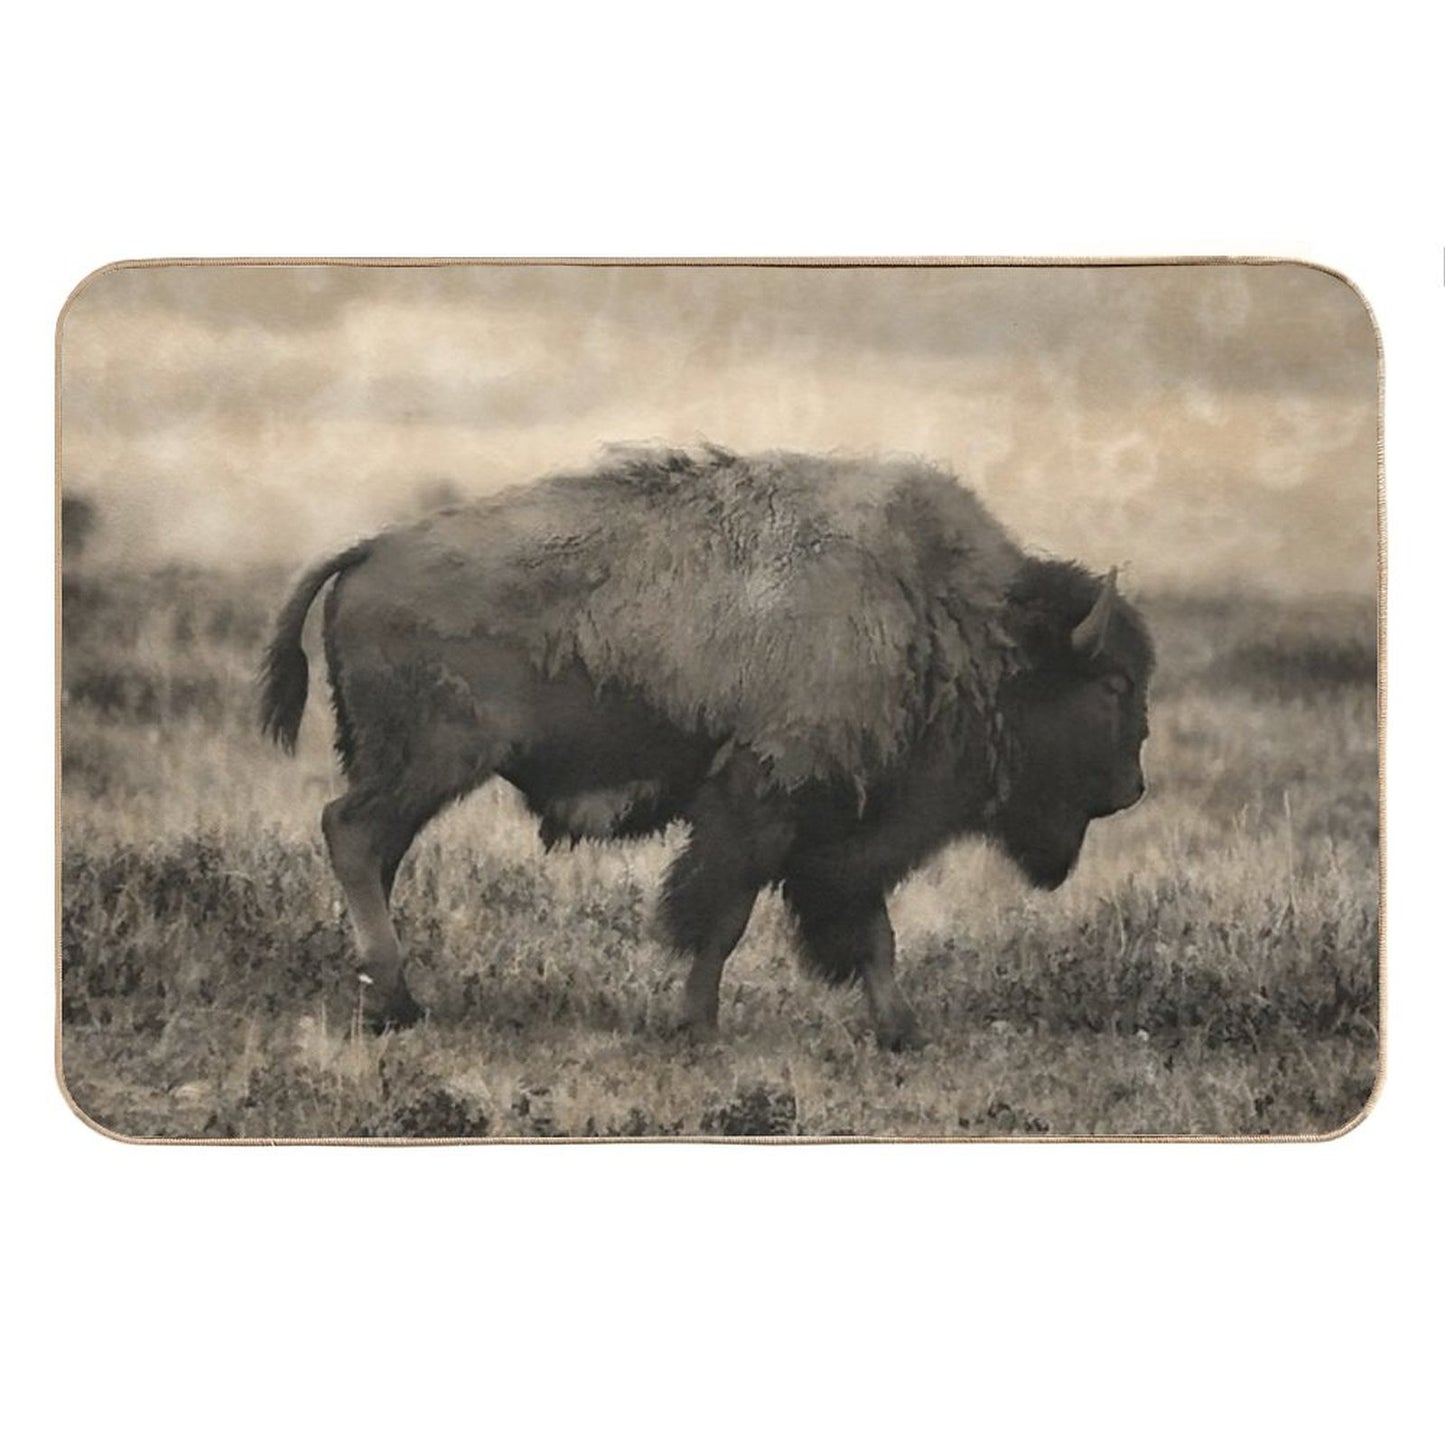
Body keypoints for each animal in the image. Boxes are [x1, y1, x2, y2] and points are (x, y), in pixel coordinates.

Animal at [261, 445, 1152, 1049]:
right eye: (1111, 684)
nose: (1132, 787)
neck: (945, 617)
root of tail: (371, 548)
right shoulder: (759, 806)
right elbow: (721, 918)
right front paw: (695, 1023)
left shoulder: (838, 834)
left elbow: (871, 932)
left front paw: (901, 1029)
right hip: (430, 763)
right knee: (351, 832)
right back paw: (395, 1002)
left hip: (408, 770)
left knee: (374, 850)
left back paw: (386, 994)